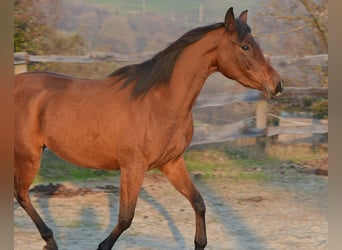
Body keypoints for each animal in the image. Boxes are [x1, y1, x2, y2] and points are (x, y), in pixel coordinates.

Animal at [14, 7, 284, 250]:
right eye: (245, 47)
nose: (277, 84)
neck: (160, 102)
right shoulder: (133, 167)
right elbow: (125, 218)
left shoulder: (172, 163)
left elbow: (198, 203)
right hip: (28, 155)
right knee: (21, 194)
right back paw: (50, 241)